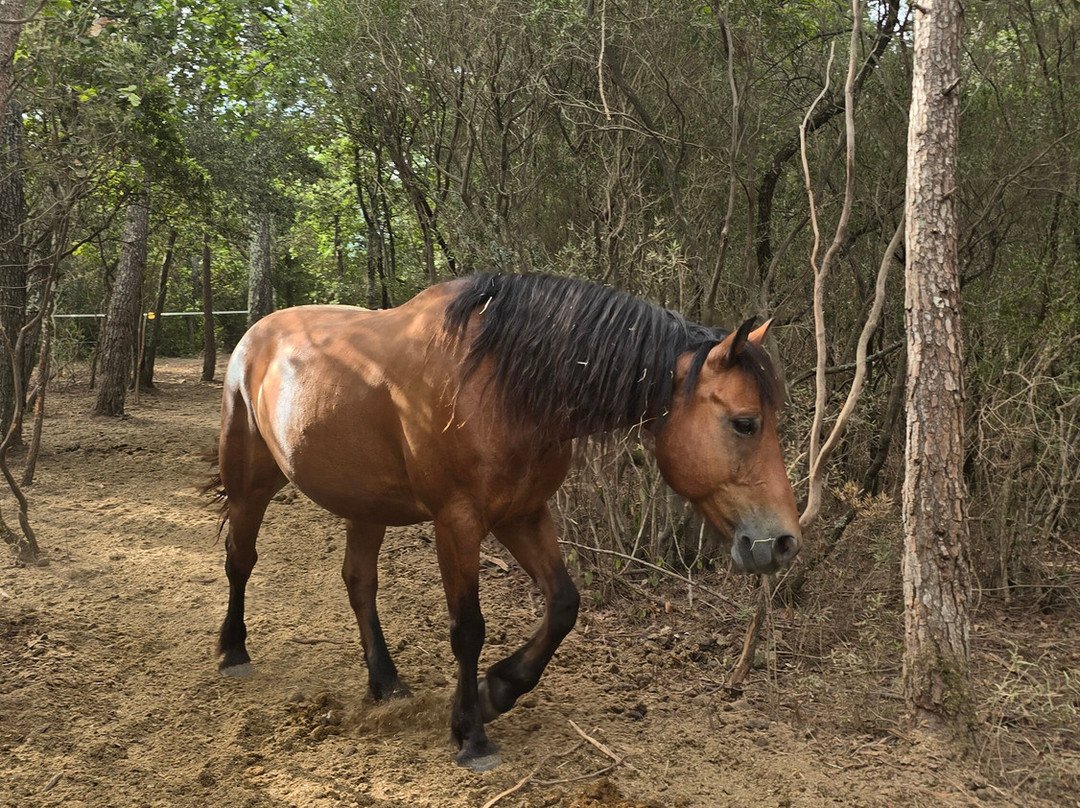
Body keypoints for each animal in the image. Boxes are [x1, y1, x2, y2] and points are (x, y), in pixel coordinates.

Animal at [206, 272, 800, 771]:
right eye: (745, 424)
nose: (783, 542)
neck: (501, 385)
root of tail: (256, 334)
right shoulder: (458, 522)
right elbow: (468, 628)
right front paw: (472, 734)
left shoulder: (524, 514)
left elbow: (563, 605)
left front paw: (498, 691)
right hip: (250, 481)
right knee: (241, 559)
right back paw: (233, 650)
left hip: (365, 504)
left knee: (359, 582)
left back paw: (386, 681)